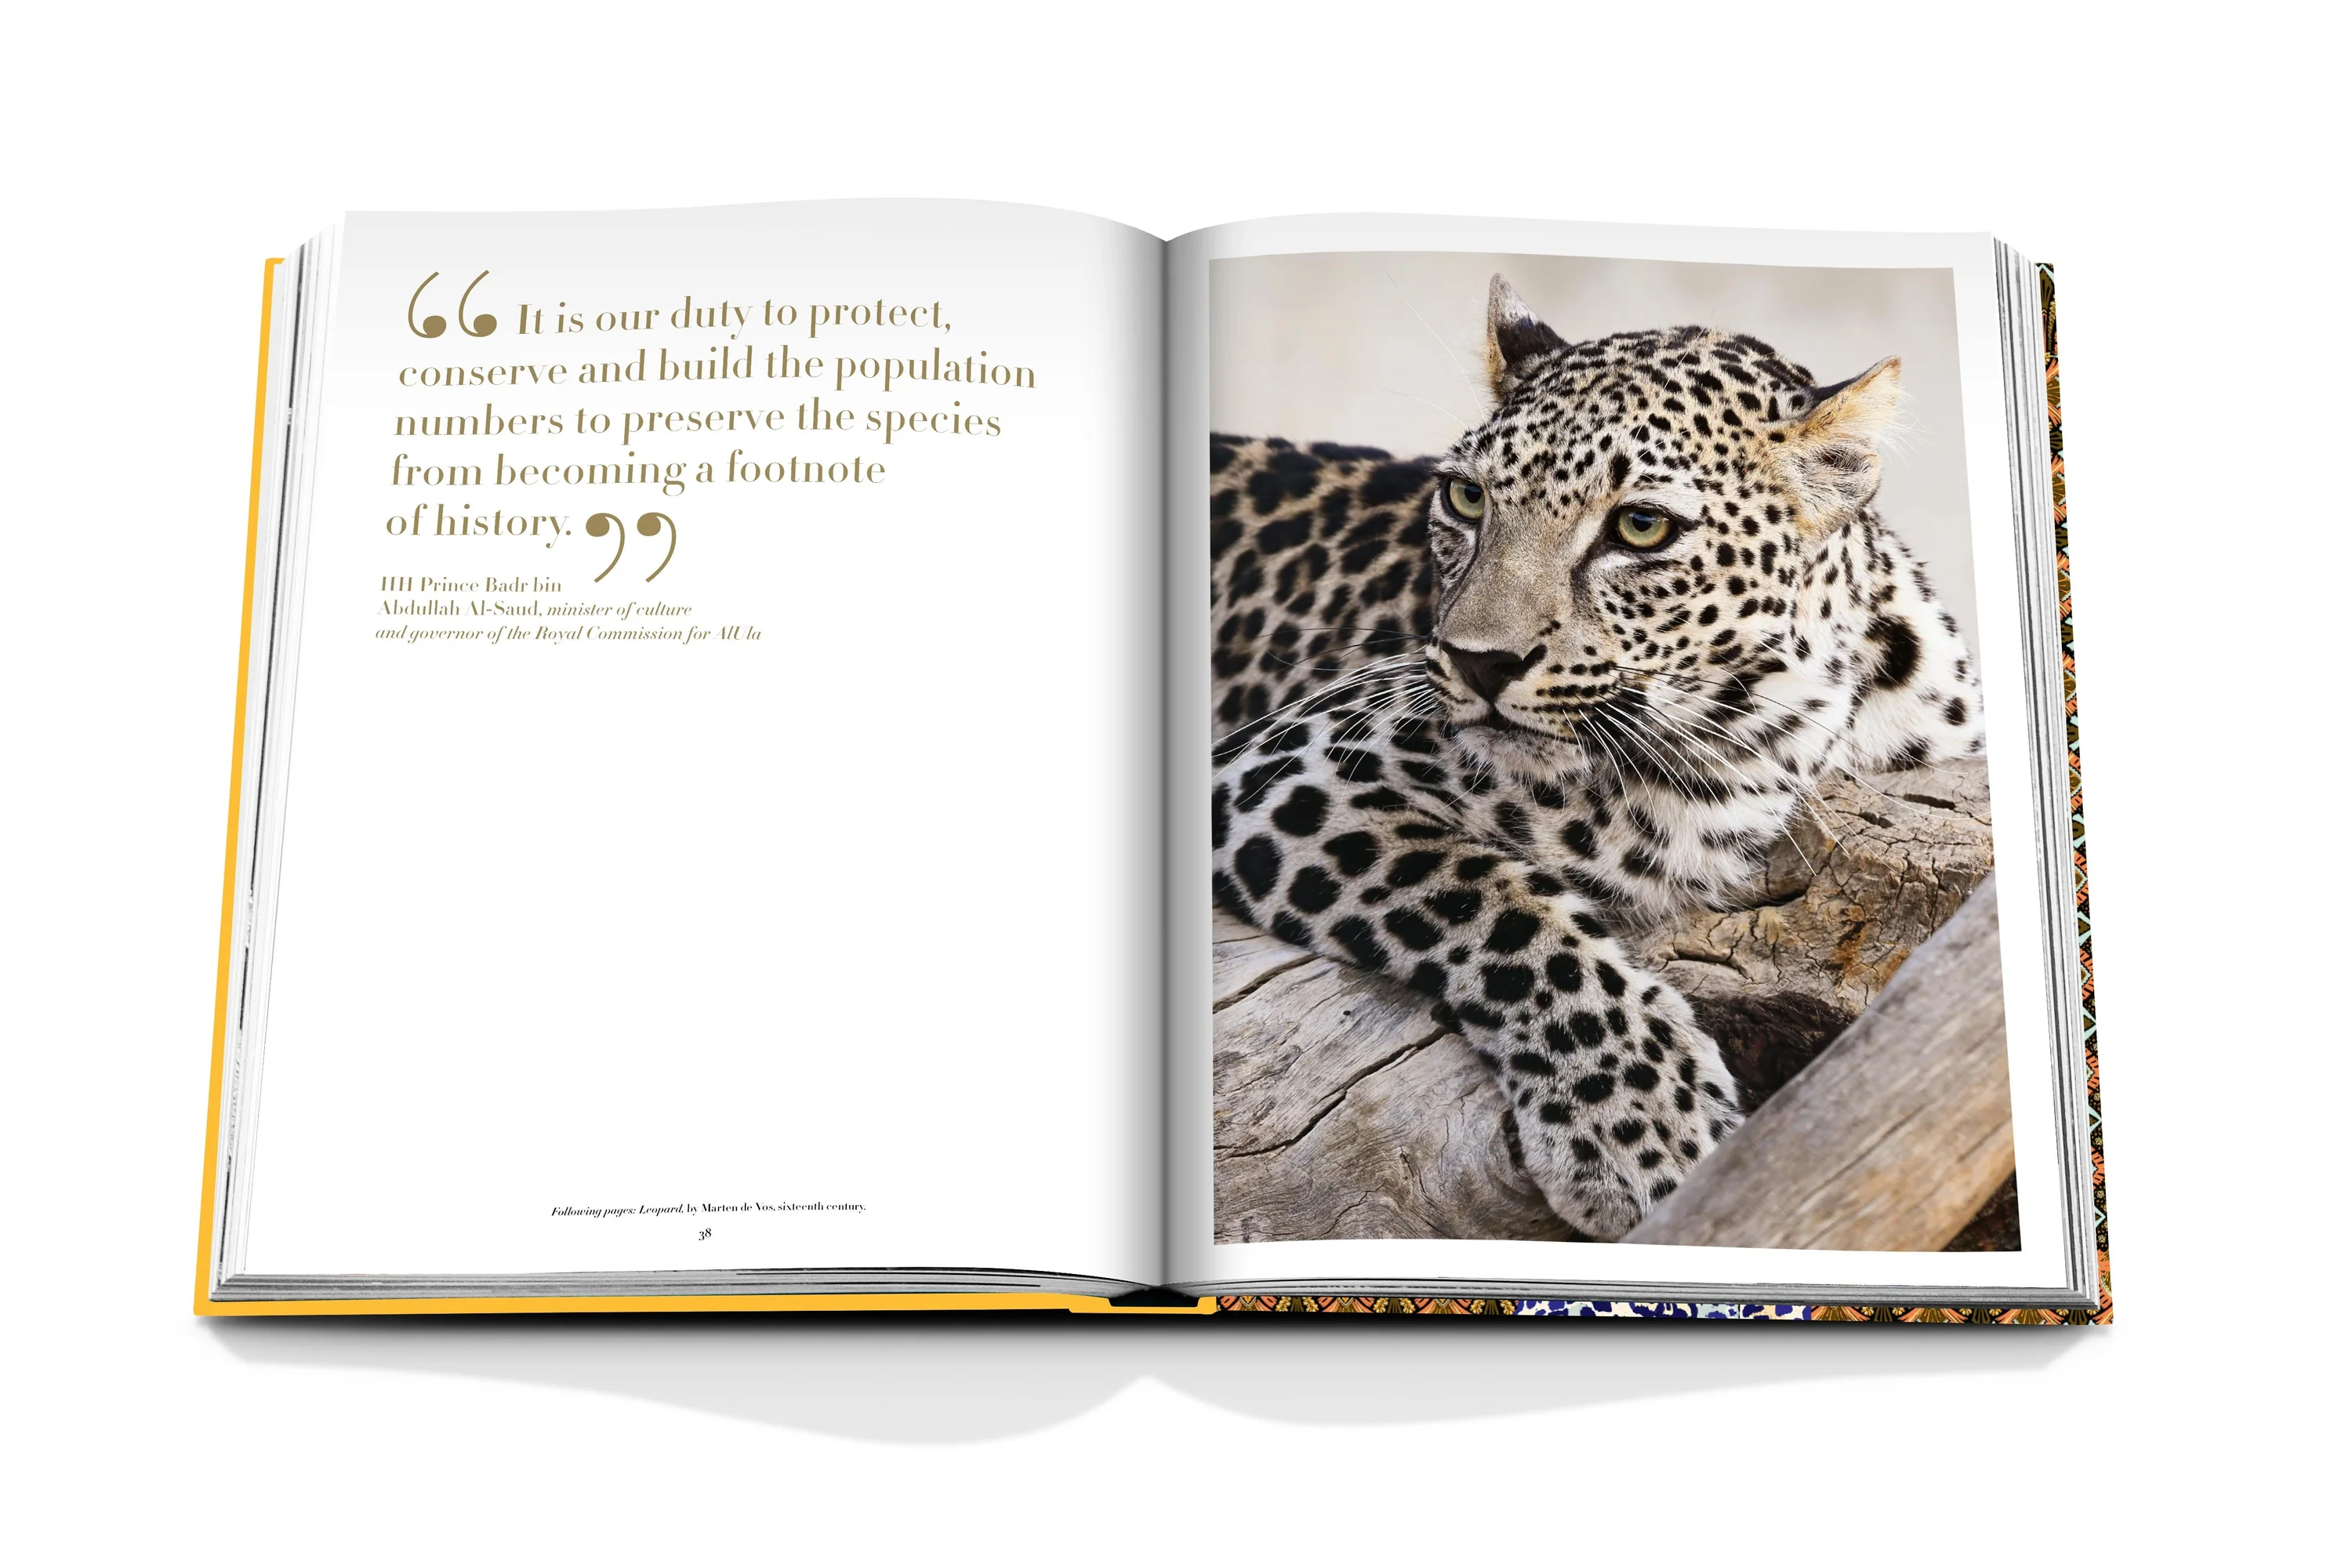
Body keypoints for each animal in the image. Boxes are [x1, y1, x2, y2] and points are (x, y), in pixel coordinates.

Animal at [1210, 275, 1985, 1241]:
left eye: (1641, 527)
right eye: (1467, 499)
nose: (1478, 662)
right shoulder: (1296, 763)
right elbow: (1500, 906)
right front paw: (1642, 1128)